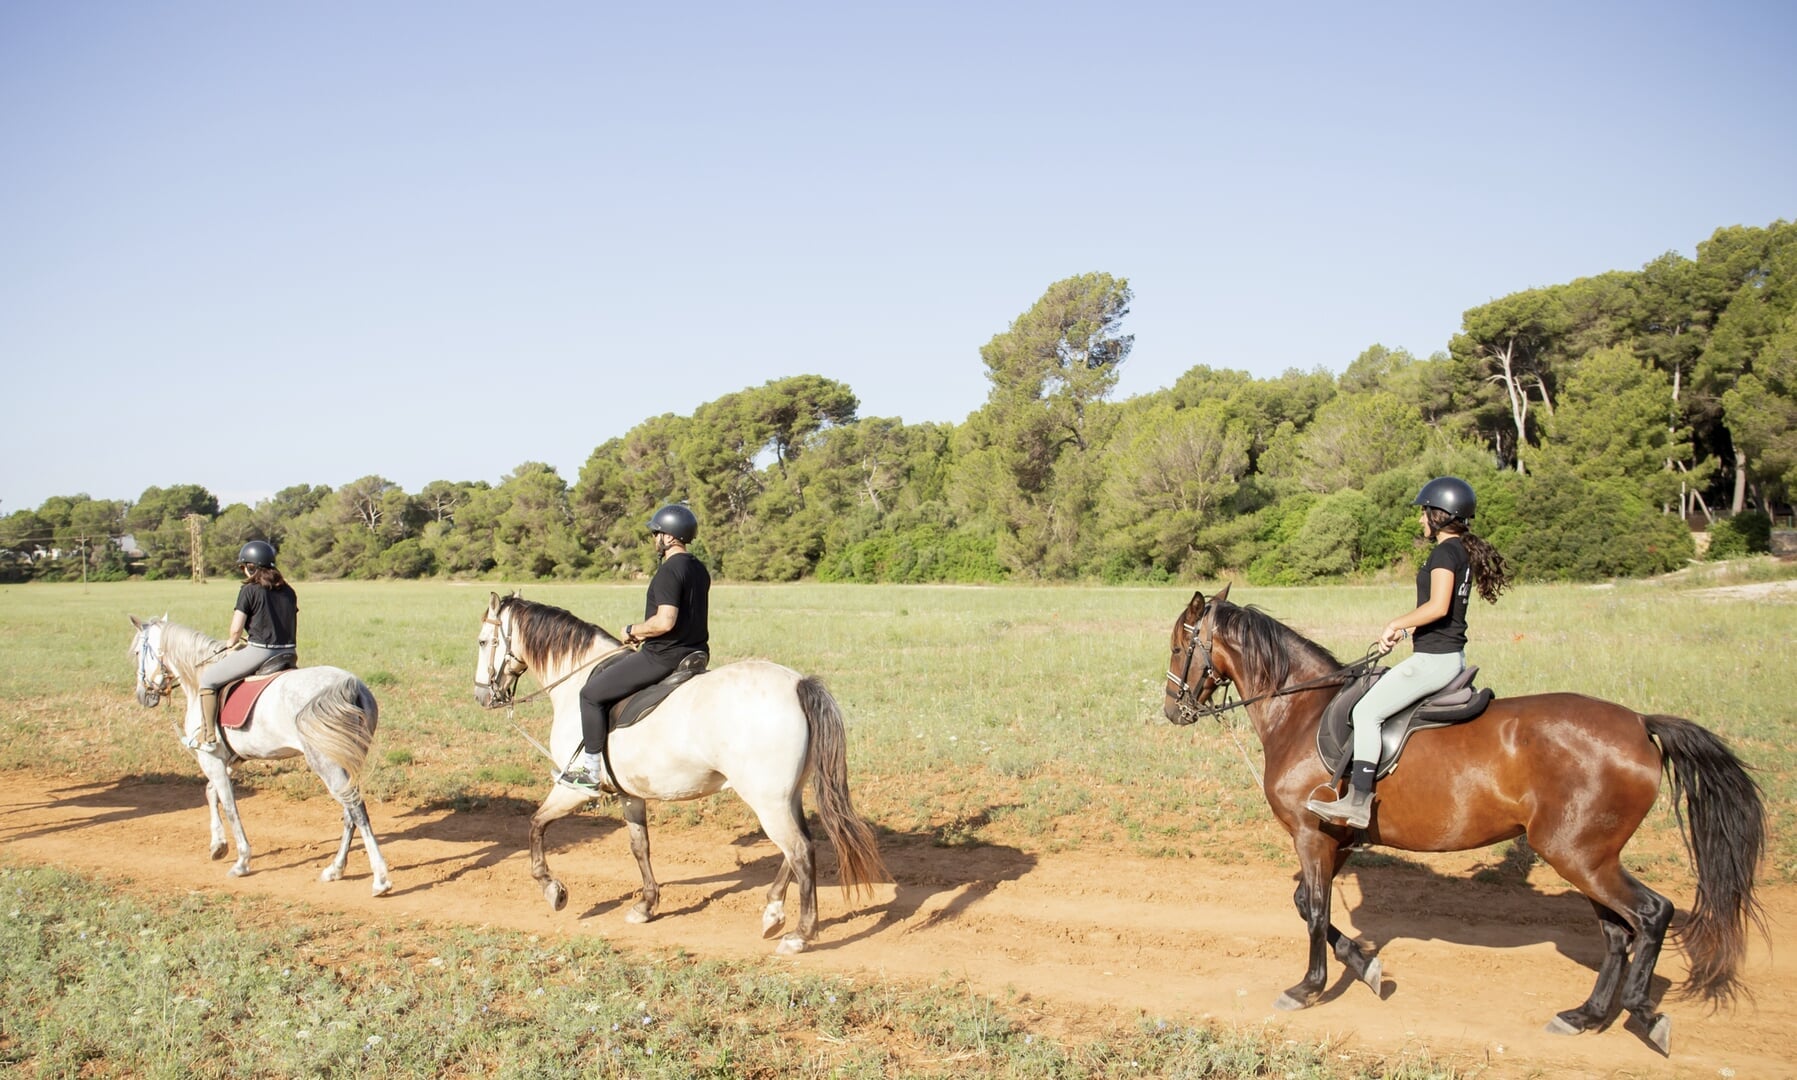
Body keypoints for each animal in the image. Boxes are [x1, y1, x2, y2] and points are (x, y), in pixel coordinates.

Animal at [127, 615, 393, 895]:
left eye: (137, 653)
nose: (143, 695)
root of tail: (349, 684)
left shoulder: (211, 760)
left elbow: (230, 806)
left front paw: (242, 861)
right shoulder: (229, 760)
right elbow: (211, 793)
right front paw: (218, 846)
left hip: (326, 763)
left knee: (356, 809)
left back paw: (380, 878)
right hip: (346, 761)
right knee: (349, 813)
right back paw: (336, 869)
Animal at [471, 592, 887, 955]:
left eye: (482, 641)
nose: (482, 697)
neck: (577, 679)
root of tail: (798, 683)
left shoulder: (573, 789)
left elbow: (536, 826)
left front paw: (552, 889)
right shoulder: (630, 793)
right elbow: (639, 846)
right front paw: (646, 905)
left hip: (768, 799)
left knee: (799, 851)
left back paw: (800, 935)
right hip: (785, 796)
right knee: (798, 847)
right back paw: (772, 913)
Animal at [1162, 585, 1765, 1054]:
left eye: (1178, 646)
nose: (1172, 710)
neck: (1302, 711)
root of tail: (1640, 723)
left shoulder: (1312, 836)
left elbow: (1312, 911)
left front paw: (1308, 988)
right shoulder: (1336, 840)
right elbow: (1308, 906)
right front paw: (1365, 966)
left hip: (1579, 855)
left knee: (1651, 914)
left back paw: (1642, 1012)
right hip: (1589, 857)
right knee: (1619, 933)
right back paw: (1585, 1016)